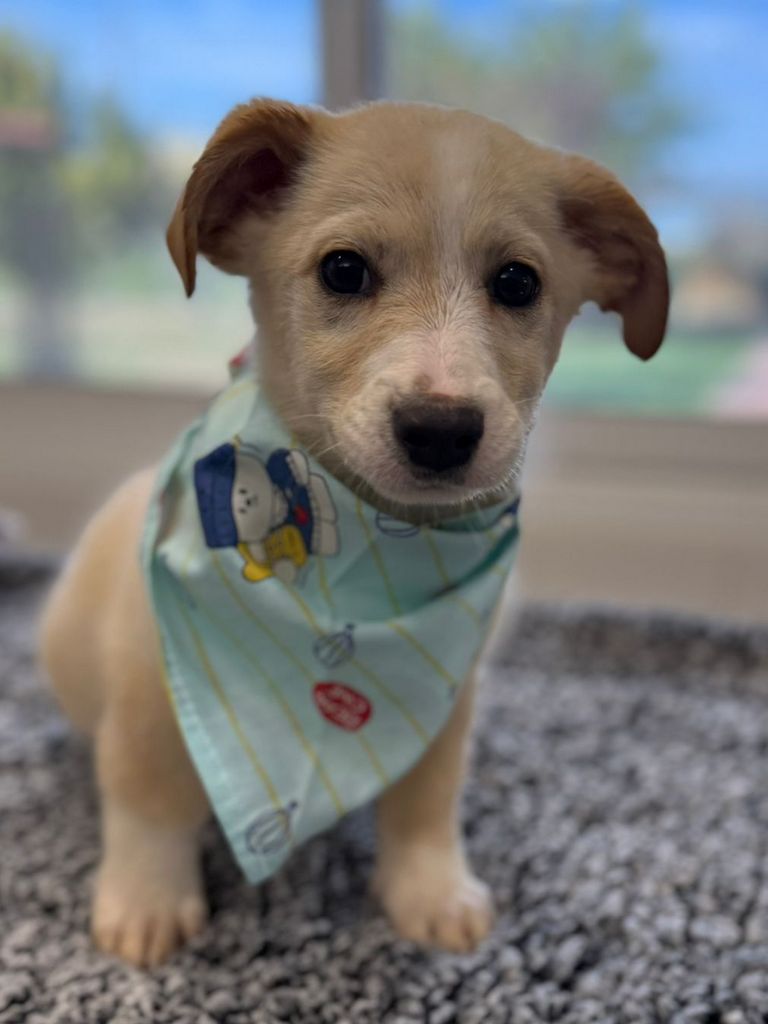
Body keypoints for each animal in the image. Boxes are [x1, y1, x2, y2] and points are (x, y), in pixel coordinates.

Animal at [39, 98, 668, 968]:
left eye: (517, 282)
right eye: (343, 270)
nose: (441, 430)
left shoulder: (447, 703)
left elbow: (426, 805)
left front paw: (431, 890)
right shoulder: (146, 680)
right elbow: (147, 799)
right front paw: (146, 900)